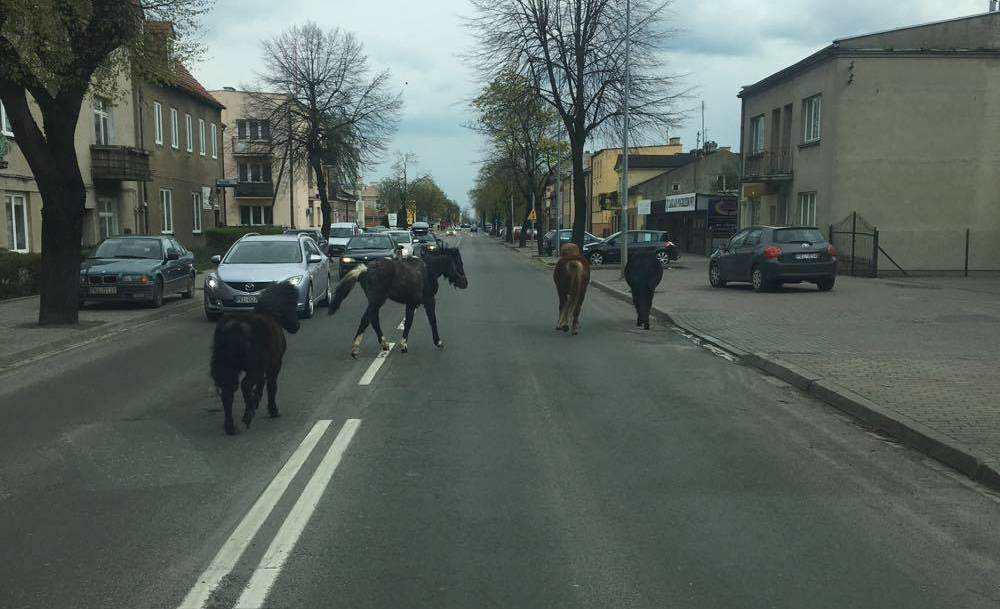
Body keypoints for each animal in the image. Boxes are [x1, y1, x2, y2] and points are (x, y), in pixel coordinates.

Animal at [209, 282, 298, 434]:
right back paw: (248, 414)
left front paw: (256, 400)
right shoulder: (274, 364)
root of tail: (232, 329)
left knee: (227, 393)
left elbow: (261, 384)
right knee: (245, 385)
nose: (296, 326)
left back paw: (230, 426)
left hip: (229, 368)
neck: (270, 314)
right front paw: (272, 410)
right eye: (291, 304)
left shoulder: (263, 367)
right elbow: (271, 386)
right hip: (253, 367)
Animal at [328, 245, 468, 356]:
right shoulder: (428, 300)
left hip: (375, 301)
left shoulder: (411, 303)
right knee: (366, 318)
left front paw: (404, 344)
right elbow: (430, 320)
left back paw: (384, 344)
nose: (465, 283)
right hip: (377, 300)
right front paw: (436, 342)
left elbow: (409, 322)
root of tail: (366, 269)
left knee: (373, 318)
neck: (428, 270)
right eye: (459, 263)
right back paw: (355, 348)